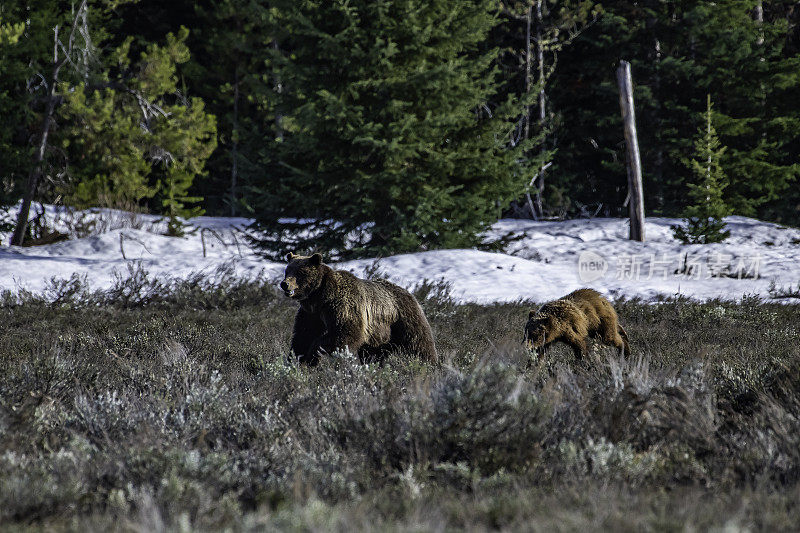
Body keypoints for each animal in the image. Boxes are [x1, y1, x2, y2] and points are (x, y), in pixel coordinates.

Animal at [276, 251, 438, 364]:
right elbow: (303, 336)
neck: (320, 297)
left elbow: (344, 334)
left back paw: (429, 364)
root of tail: (409, 293)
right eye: (287, 270)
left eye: (300, 272)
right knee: (372, 355)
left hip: (403, 319)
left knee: (419, 343)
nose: (285, 284)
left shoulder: (342, 307)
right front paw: (298, 359)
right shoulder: (311, 314)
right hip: (378, 337)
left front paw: (313, 353)